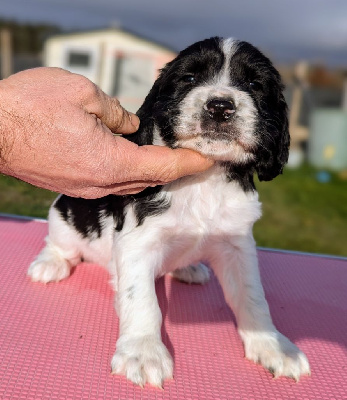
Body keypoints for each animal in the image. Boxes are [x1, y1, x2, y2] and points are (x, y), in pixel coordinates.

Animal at [28, 37, 312, 388]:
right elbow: (142, 300)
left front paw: (273, 346)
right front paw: (143, 352)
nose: (220, 106)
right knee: (59, 244)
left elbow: (252, 296)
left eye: (253, 84)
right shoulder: (137, 242)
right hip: (64, 215)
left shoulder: (237, 244)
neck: (205, 180)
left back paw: (188, 268)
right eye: (189, 79)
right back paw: (50, 264)